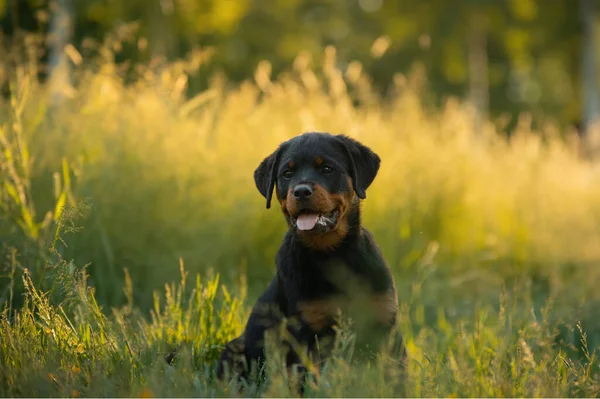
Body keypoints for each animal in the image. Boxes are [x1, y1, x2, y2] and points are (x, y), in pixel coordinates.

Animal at [216, 133, 404, 386]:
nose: (301, 191)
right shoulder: (306, 331)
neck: (332, 254)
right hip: (236, 348)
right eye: (287, 173)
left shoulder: (385, 323)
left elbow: (397, 375)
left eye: (327, 169)